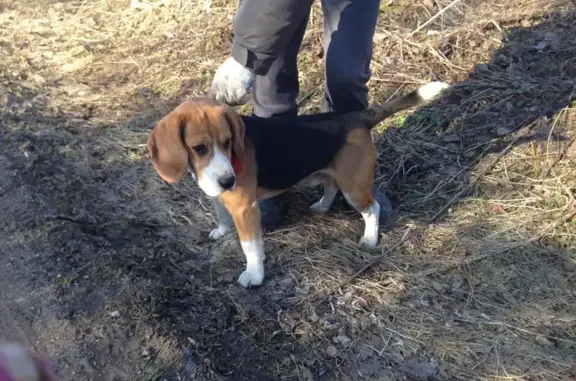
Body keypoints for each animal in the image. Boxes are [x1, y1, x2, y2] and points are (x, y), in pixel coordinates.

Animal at [145, 81, 450, 286]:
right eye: (199, 149)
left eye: (228, 142)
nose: (229, 180)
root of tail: (357, 116)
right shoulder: (219, 197)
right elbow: (220, 212)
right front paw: (221, 230)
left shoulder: (245, 209)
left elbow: (250, 247)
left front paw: (254, 275)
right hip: (332, 174)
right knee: (330, 187)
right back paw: (322, 206)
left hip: (354, 185)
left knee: (371, 208)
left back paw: (369, 238)